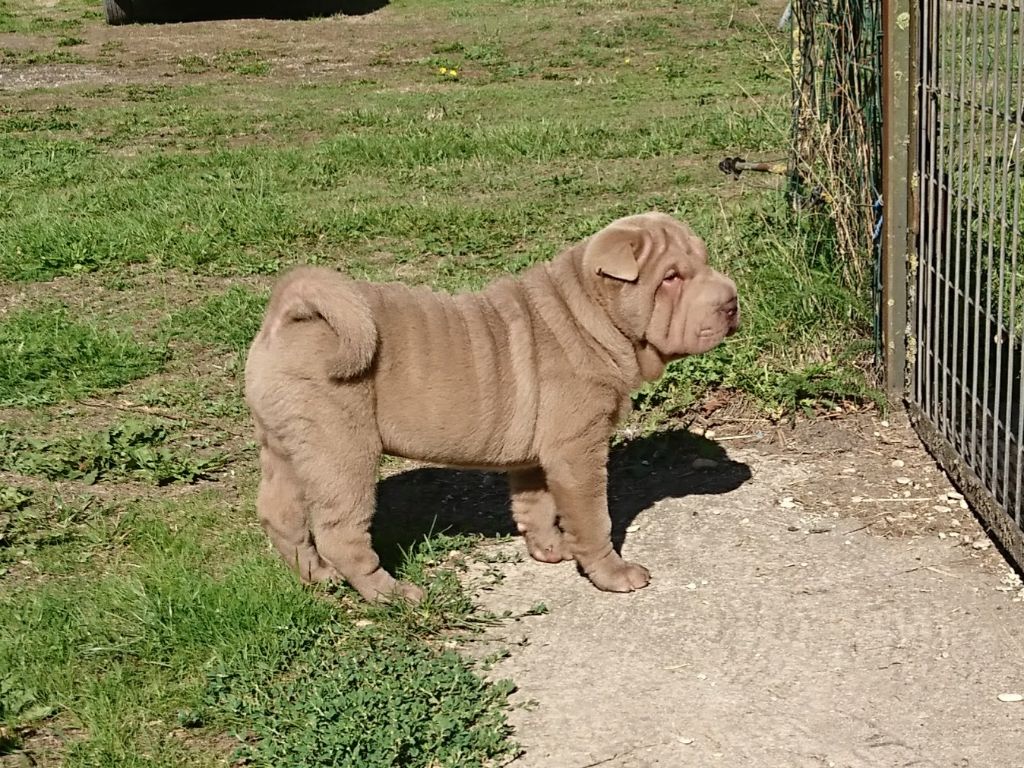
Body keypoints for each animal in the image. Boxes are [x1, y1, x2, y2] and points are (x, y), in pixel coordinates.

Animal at [244, 212, 740, 602]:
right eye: (672, 277)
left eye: (704, 261)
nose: (732, 302)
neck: (589, 317)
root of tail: (288, 313)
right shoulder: (577, 451)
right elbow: (593, 518)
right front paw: (612, 574)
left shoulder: (537, 458)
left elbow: (535, 506)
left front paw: (550, 550)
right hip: (341, 450)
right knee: (340, 533)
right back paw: (392, 594)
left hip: (286, 444)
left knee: (280, 514)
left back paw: (318, 578)